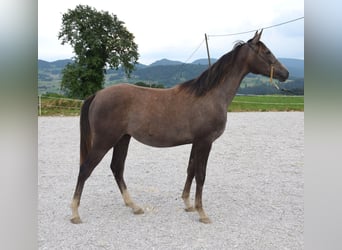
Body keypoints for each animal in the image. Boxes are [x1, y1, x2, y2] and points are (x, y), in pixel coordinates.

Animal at [69, 29, 288, 225]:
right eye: (267, 52)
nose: (285, 73)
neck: (210, 95)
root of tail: (98, 94)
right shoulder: (205, 142)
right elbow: (201, 175)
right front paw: (202, 213)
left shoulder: (196, 142)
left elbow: (190, 170)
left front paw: (188, 204)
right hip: (105, 141)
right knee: (85, 169)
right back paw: (75, 213)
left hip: (122, 139)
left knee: (117, 168)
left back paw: (134, 206)